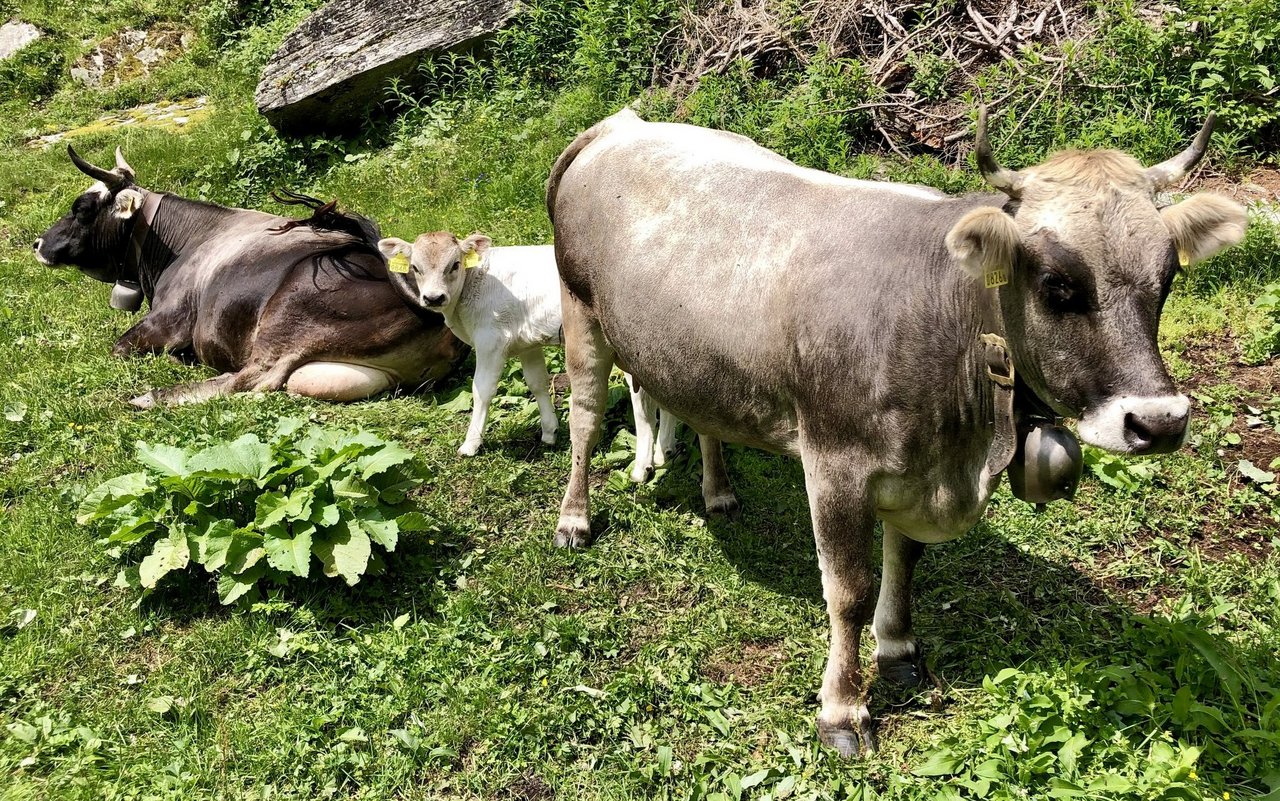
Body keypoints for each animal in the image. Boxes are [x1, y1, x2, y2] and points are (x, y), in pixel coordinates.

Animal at [33, 145, 465, 404]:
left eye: (82, 209)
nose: (38, 244)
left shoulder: (167, 320)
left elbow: (119, 347)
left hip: (287, 312)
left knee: (250, 380)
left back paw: (151, 396)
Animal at [545, 109, 1244, 752]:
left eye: (1167, 278)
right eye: (1056, 285)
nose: (1159, 422)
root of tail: (621, 124)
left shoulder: (917, 469)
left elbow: (903, 562)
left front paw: (898, 648)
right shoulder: (834, 464)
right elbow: (849, 591)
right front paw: (842, 709)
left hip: (692, 353)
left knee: (701, 415)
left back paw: (718, 492)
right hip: (580, 309)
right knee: (584, 418)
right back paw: (575, 518)